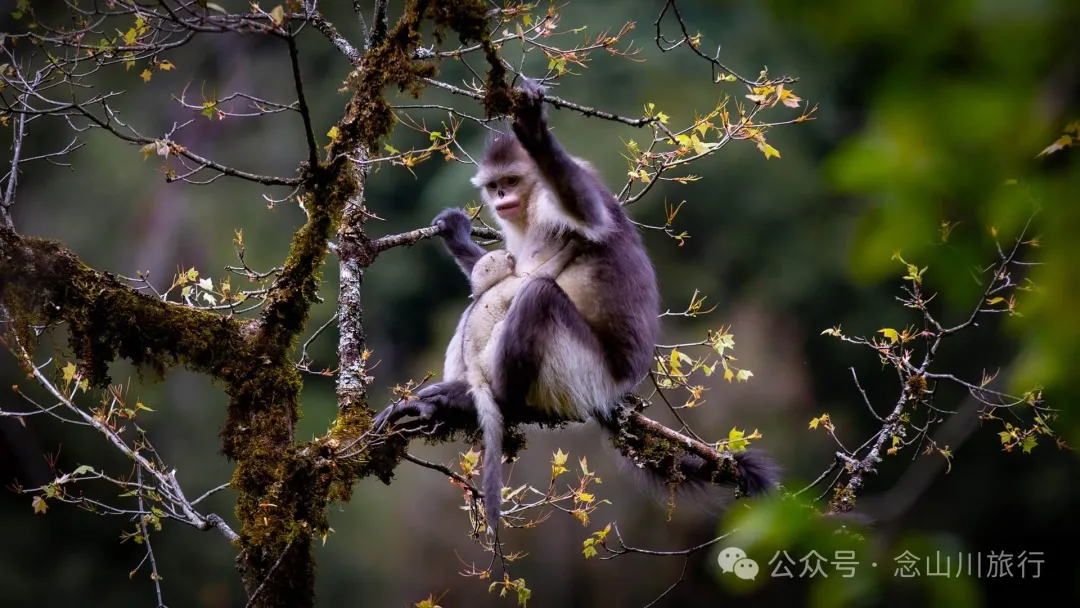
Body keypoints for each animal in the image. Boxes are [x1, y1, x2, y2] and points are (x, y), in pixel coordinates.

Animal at [373, 78, 780, 537]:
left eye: (511, 180)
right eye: (495, 186)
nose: (502, 198)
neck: (531, 206)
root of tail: (617, 388)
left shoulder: (557, 201)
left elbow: (581, 220)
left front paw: (535, 132)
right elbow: (493, 276)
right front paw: (456, 234)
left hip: (579, 374)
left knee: (538, 295)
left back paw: (484, 401)